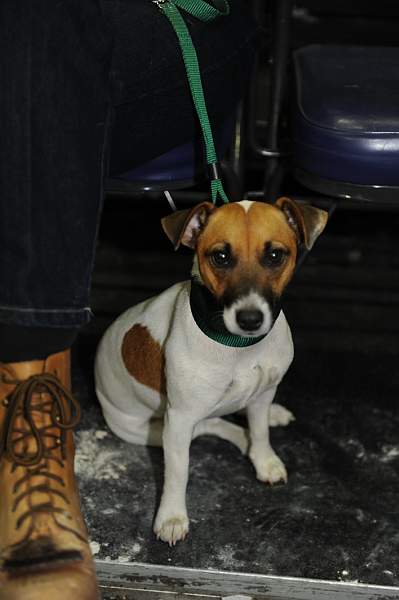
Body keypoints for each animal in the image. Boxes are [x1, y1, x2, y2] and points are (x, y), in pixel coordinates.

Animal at [94, 199, 328, 548]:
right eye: (220, 256)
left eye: (275, 255)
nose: (249, 319)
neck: (238, 346)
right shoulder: (179, 419)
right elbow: (178, 471)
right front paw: (172, 517)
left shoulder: (262, 392)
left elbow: (260, 431)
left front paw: (264, 458)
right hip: (145, 428)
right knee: (210, 425)